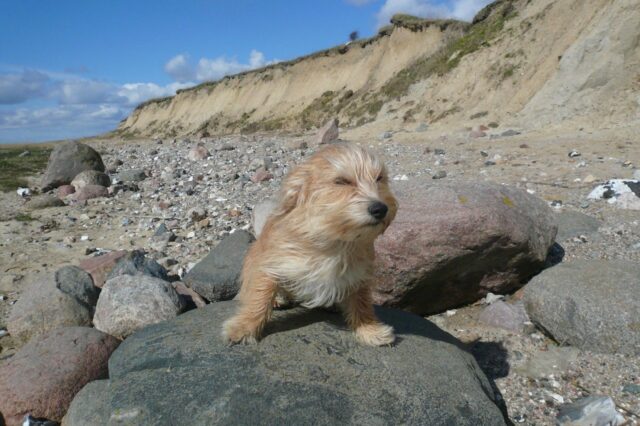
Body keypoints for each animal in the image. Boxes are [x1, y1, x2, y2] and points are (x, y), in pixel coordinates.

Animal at [222, 143, 398, 346]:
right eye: (342, 181)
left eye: (379, 178)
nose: (380, 208)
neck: (332, 238)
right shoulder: (272, 263)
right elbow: (260, 296)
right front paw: (244, 327)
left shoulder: (359, 274)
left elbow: (361, 302)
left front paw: (369, 329)